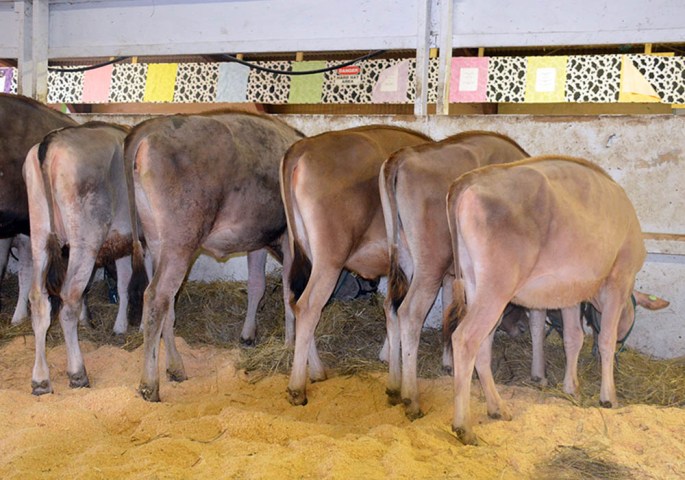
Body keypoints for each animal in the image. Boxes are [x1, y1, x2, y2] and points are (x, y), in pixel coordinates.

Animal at [23, 122, 144, 394]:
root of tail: (51, 140)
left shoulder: (122, 241)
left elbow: (124, 283)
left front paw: (120, 327)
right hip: (86, 239)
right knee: (68, 301)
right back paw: (78, 373)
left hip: (39, 234)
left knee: (38, 299)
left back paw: (40, 379)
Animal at [127, 112, 304, 402]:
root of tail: (150, 128)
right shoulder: (289, 238)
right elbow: (289, 294)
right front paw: (289, 346)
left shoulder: (256, 240)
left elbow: (257, 285)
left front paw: (248, 336)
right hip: (181, 240)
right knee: (155, 298)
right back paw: (150, 385)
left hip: (158, 241)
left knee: (168, 304)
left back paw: (176, 368)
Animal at [280, 125, 432, 406]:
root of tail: (303, 146)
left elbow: (393, 307)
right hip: (329, 259)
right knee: (308, 306)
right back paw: (297, 388)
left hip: (300, 251)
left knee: (294, 300)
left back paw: (316, 371)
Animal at [379, 131, 530, 419]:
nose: (523, 328)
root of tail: (403, 156)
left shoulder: (452, 275)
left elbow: (450, 310)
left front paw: (449, 363)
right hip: (429, 266)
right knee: (409, 313)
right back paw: (411, 399)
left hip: (404, 255)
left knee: (391, 306)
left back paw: (393, 387)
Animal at [445, 155, 646, 445]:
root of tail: (469, 179)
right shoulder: (619, 277)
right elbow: (605, 340)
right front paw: (609, 397)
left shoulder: (571, 290)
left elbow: (573, 338)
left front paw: (571, 387)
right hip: (495, 289)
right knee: (464, 339)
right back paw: (464, 427)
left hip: (475, 285)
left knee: (482, 346)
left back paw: (497, 408)